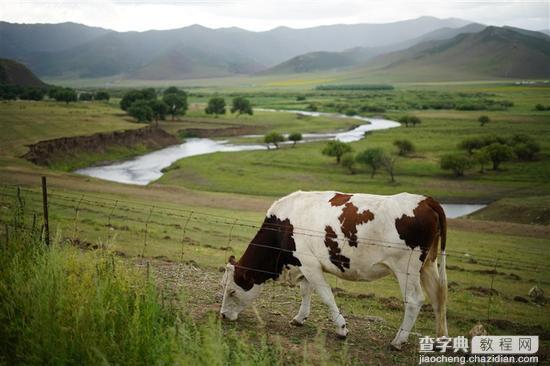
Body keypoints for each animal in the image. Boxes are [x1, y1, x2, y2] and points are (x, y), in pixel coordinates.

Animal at [222, 192, 450, 348]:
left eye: (232, 291)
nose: (223, 315)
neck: (283, 226)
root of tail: (426, 200)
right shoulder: (302, 264)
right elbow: (306, 291)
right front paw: (300, 318)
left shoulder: (310, 264)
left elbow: (325, 295)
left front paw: (341, 329)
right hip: (428, 265)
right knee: (438, 297)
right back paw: (441, 340)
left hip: (407, 268)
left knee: (414, 300)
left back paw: (398, 340)